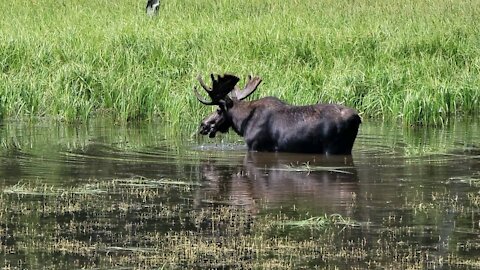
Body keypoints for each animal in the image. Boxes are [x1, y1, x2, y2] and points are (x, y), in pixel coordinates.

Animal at [195, 73, 360, 154]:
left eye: (218, 110)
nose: (203, 125)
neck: (242, 123)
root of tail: (357, 118)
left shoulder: (255, 145)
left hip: (333, 148)